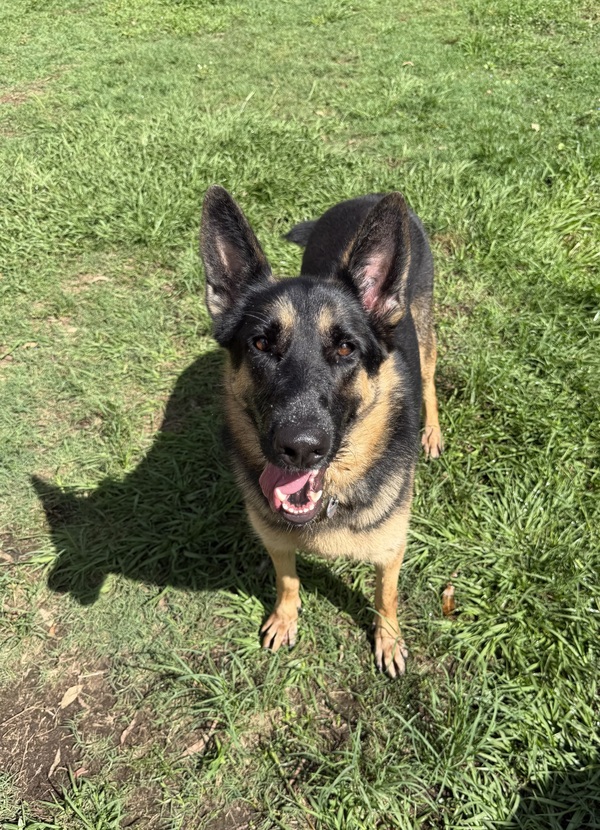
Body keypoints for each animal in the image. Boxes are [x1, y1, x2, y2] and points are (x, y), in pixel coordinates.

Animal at [200, 186, 443, 676]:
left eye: (346, 348)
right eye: (261, 344)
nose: (299, 448)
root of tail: (368, 195)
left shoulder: (391, 551)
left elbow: (386, 597)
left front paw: (388, 638)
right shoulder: (275, 539)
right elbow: (287, 580)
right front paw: (284, 617)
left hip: (425, 333)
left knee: (430, 377)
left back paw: (433, 431)